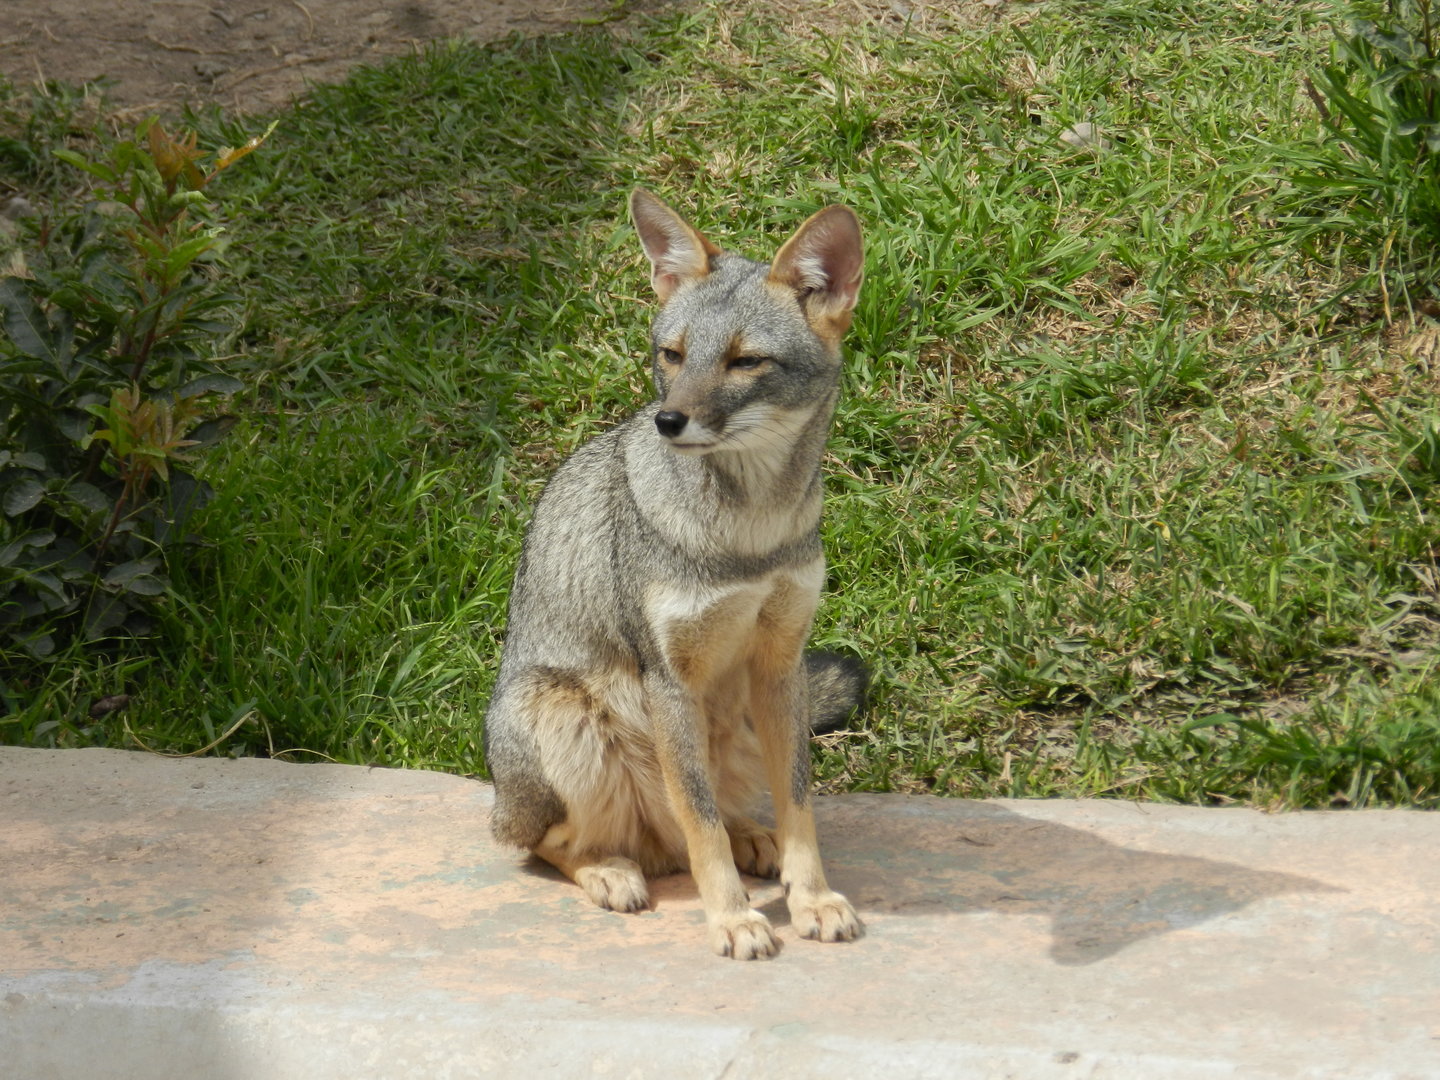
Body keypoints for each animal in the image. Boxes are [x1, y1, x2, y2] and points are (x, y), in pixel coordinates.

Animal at [482, 188, 867, 960]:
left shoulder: (781, 660)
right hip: (568, 716)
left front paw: (811, 899)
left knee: (705, 817)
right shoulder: (668, 677)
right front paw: (733, 918)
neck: (748, 537)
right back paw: (611, 869)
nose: (668, 420)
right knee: (557, 842)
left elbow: (798, 804)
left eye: (746, 361)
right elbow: (699, 821)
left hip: (739, 714)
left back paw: (753, 838)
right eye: (673, 354)